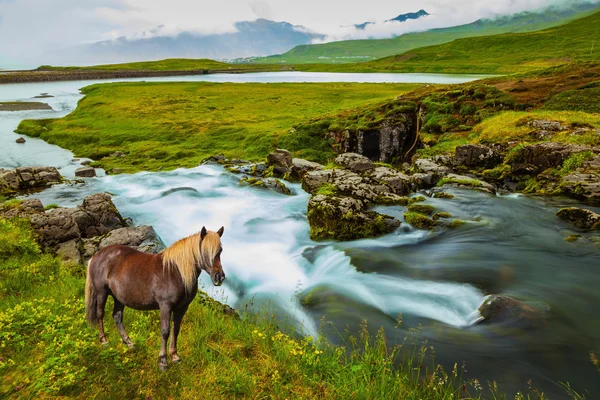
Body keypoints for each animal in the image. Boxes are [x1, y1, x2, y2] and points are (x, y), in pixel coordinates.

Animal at [84, 225, 225, 368]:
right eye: (206, 251)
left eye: (220, 251)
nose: (219, 277)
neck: (175, 271)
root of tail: (97, 255)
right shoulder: (165, 306)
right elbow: (165, 331)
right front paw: (162, 360)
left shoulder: (181, 308)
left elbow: (176, 330)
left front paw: (174, 356)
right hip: (101, 292)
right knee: (100, 314)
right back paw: (104, 340)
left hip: (118, 298)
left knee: (117, 317)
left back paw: (128, 342)